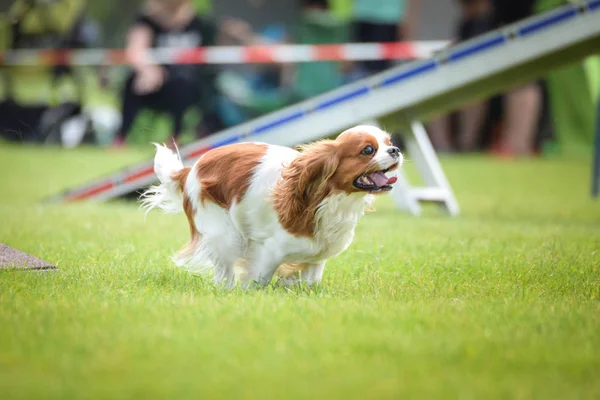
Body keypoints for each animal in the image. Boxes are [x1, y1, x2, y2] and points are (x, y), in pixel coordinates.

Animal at [141, 125, 404, 288]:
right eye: (368, 150)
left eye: (389, 142)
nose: (396, 150)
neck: (330, 200)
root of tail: (190, 169)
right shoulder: (269, 252)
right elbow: (259, 280)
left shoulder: (317, 258)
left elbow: (311, 283)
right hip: (224, 234)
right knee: (225, 271)